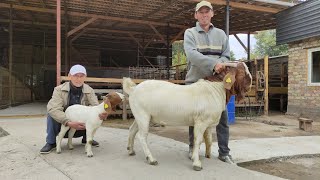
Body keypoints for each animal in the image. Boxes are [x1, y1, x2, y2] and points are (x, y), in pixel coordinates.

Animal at [122, 62, 252, 170]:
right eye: (242, 72)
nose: (250, 83)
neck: (216, 88)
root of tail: (133, 88)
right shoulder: (201, 122)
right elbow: (198, 140)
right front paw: (197, 163)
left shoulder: (208, 123)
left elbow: (209, 140)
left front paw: (207, 155)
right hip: (143, 115)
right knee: (142, 136)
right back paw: (151, 159)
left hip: (140, 115)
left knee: (132, 130)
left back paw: (130, 150)